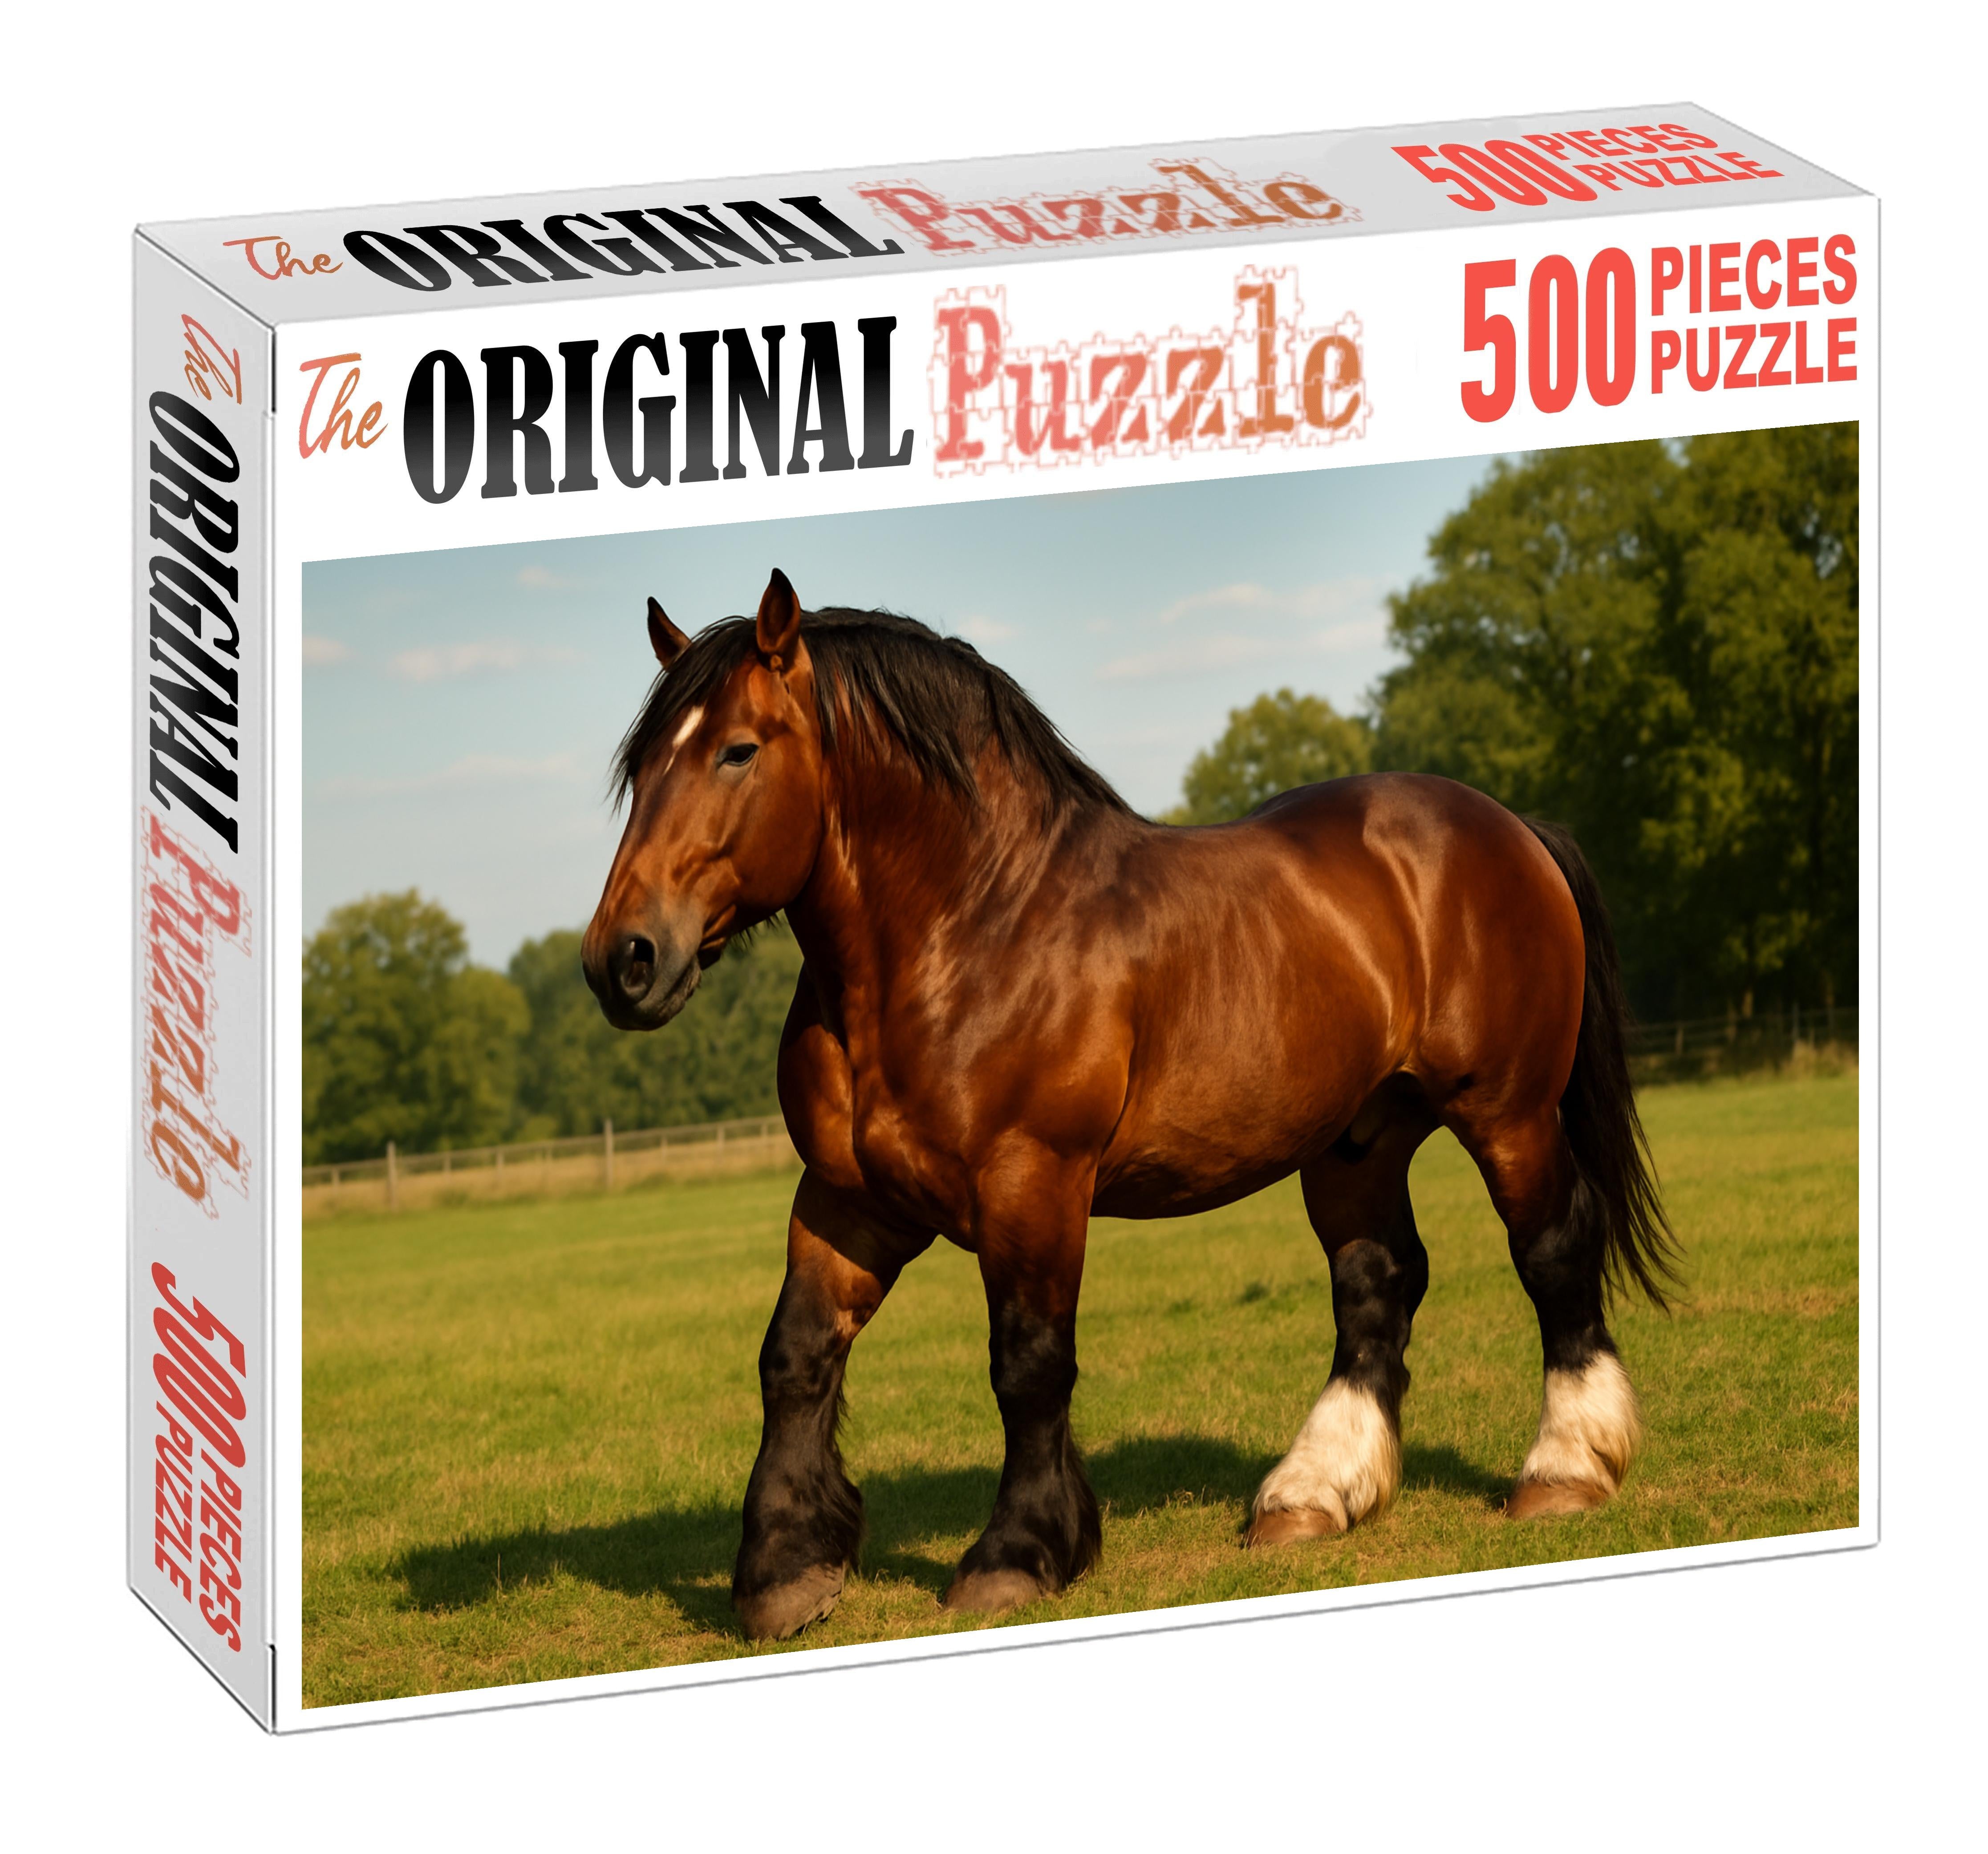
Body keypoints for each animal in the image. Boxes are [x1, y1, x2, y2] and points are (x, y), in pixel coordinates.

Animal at [582, 569, 1675, 1641]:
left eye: (737, 750)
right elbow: (796, 1355)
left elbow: (1027, 1364)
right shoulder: (850, 1199)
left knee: (1552, 1250)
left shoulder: (1032, 1185)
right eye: (643, 768)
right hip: (1356, 1142)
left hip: (1508, 1113)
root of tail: (1510, 826)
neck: (969, 931)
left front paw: (1017, 1555)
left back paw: (1566, 1469)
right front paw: (786, 1569)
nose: (622, 960)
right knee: (1376, 1283)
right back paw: (1312, 1493)